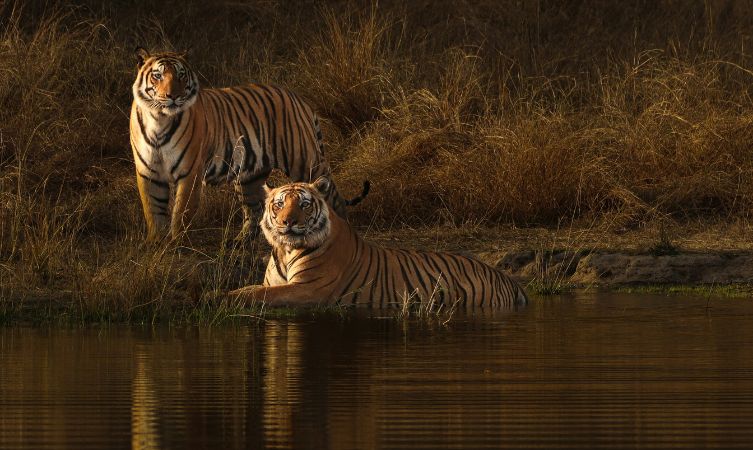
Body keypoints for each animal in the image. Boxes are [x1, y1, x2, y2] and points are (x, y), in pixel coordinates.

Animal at [129, 47, 367, 242]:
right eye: (157, 75)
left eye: (181, 75)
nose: (173, 96)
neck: (159, 120)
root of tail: (297, 98)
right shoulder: (148, 172)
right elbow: (153, 209)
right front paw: (156, 243)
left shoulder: (189, 173)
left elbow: (181, 212)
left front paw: (176, 242)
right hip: (249, 176)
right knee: (254, 210)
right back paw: (240, 241)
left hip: (305, 162)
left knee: (333, 198)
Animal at [228, 177, 529, 308]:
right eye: (279, 204)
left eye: (304, 204)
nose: (287, 222)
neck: (285, 250)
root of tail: (507, 278)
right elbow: (251, 289)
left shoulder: (308, 289)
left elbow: (256, 295)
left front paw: (218, 297)